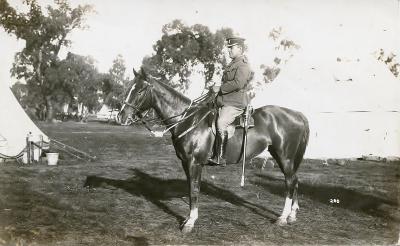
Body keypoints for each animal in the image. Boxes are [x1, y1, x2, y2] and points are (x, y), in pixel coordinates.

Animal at [117, 67, 310, 233]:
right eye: (129, 88)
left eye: (140, 91)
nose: (121, 116)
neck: (187, 120)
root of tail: (298, 114)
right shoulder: (186, 163)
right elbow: (191, 188)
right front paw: (188, 219)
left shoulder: (194, 163)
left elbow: (194, 190)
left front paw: (190, 222)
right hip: (282, 156)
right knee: (295, 181)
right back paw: (292, 215)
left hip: (284, 156)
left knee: (290, 182)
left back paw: (283, 218)